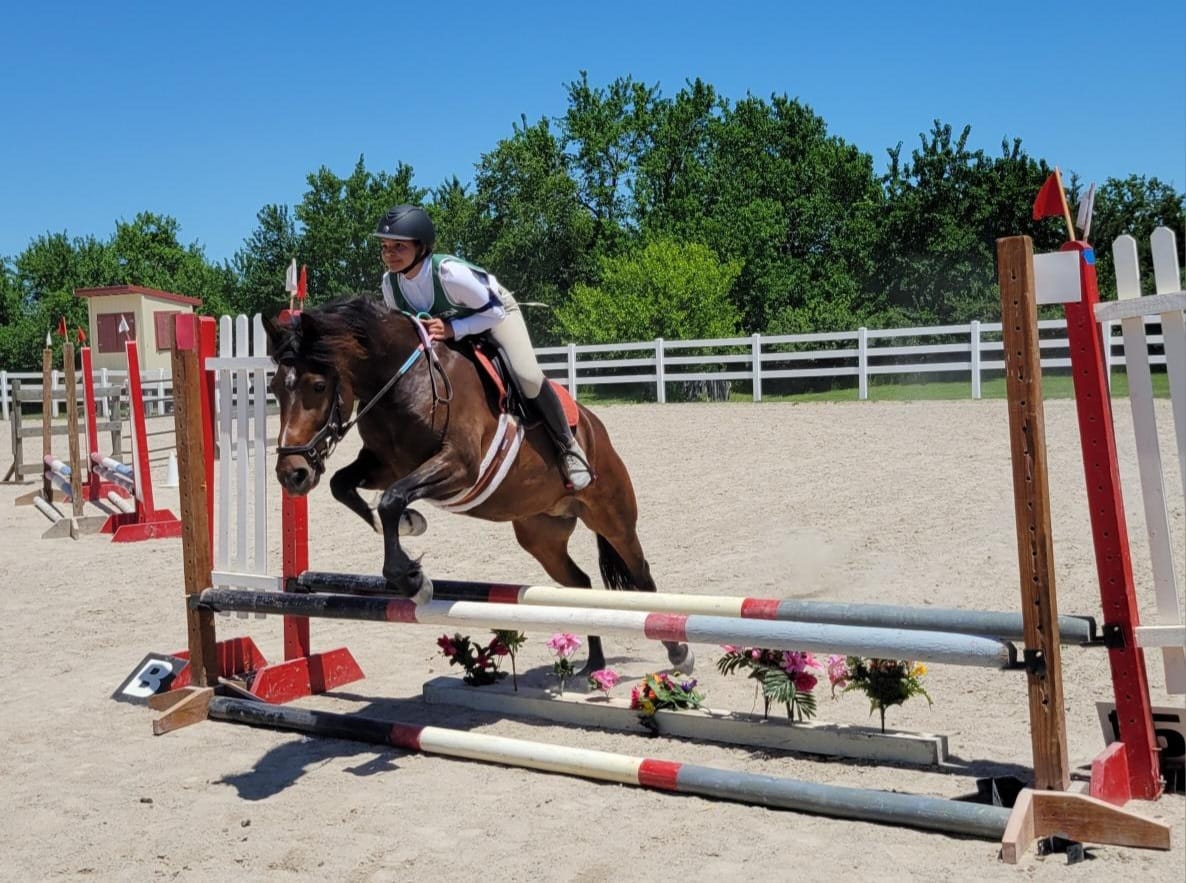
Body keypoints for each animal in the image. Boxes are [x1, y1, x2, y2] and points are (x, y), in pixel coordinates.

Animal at [257, 299, 687, 673]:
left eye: (317, 386)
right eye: (274, 388)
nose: (291, 474)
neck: (401, 380)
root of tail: (596, 429)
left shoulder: (459, 466)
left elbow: (391, 499)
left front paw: (414, 580)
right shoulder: (384, 465)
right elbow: (344, 486)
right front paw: (409, 526)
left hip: (612, 516)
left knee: (642, 575)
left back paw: (678, 652)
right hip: (541, 537)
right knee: (578, 584)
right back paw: (594, 662)